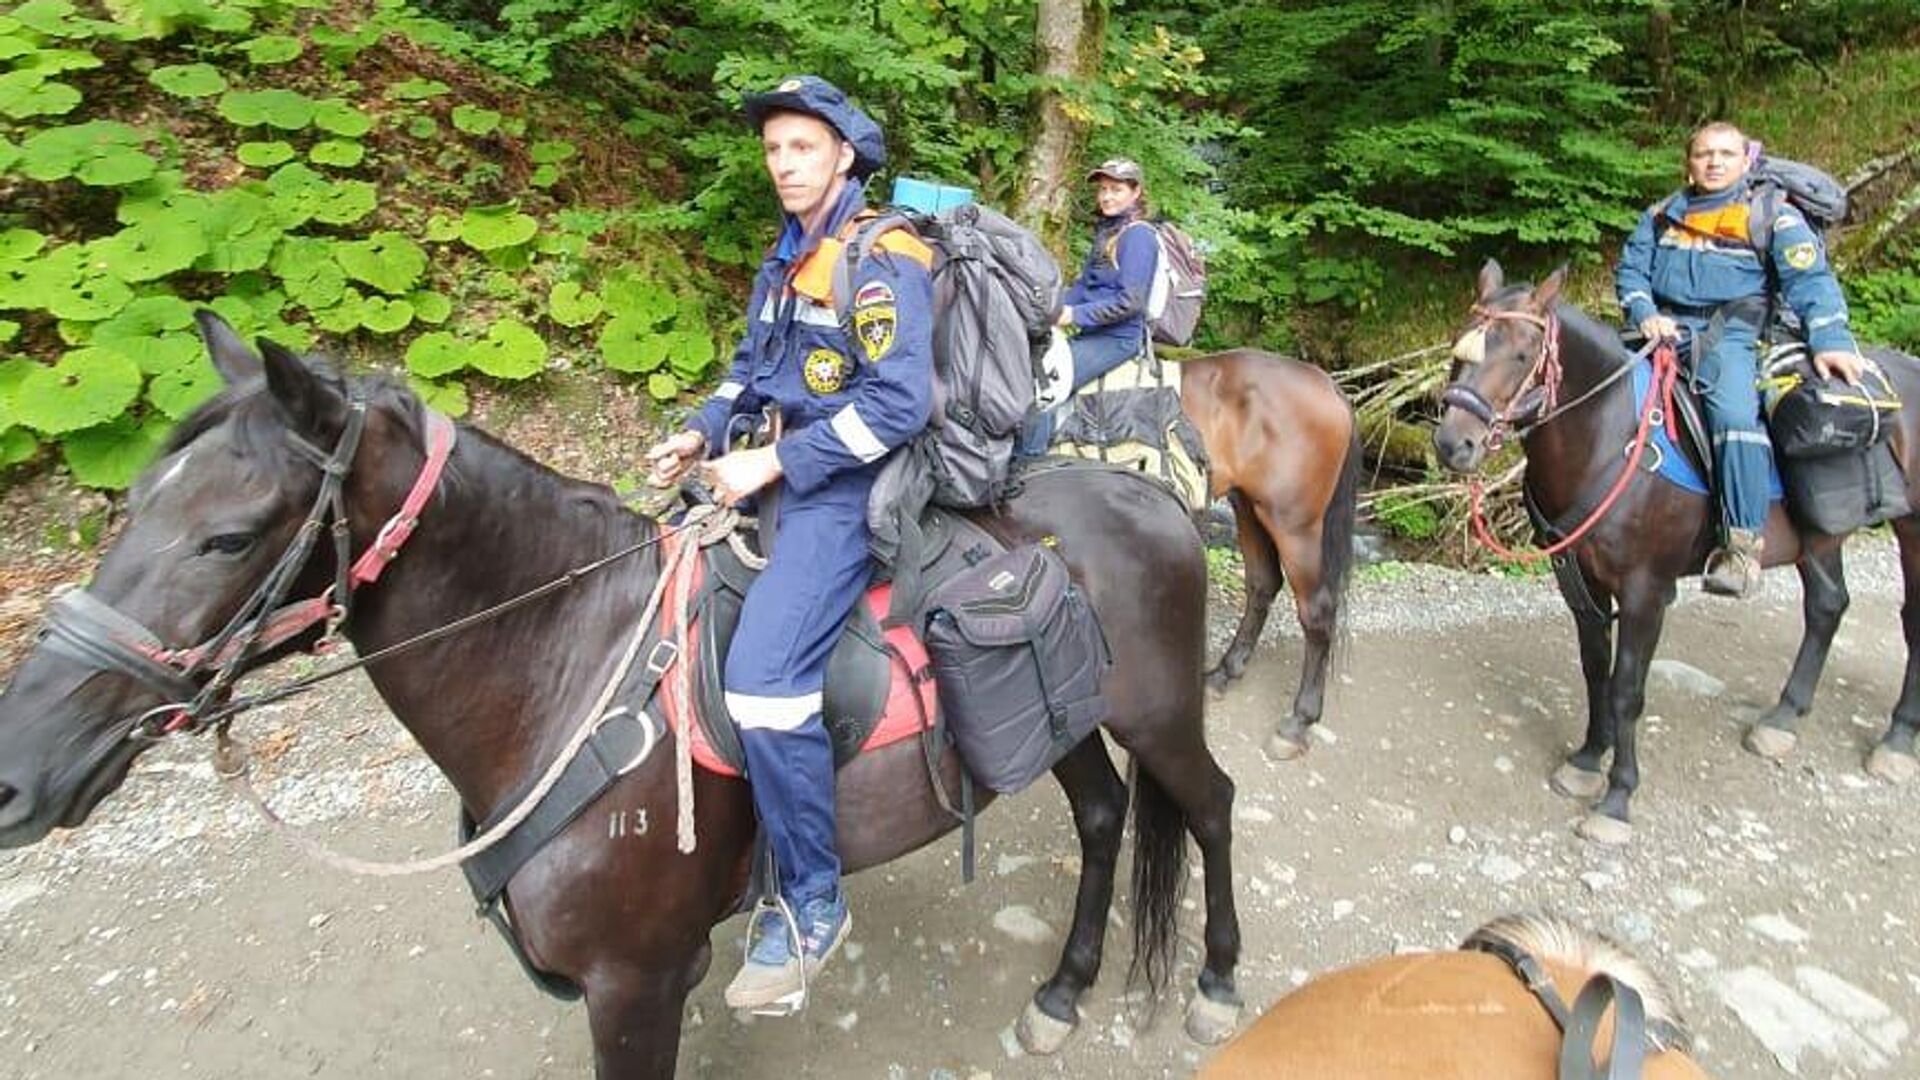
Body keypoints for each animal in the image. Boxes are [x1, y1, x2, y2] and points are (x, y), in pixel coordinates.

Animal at [0, 313, 1244, 1076]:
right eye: (132, 507)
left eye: (226, 535)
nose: (19, 767)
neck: (560, 673)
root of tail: (1153, 500)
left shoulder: (633, 986)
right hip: (1061, 723)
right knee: (1103, 817)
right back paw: (1061, 994)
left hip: (1160, 717)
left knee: (1210, 808)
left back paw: (1219, 983)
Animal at [1175, 349, 1359, 753]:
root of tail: (1330, 386)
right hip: (1248, 507)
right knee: (1262, 584)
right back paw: (1224, 672)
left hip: (1292, 525)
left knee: (1317, 612)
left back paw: (1299, 721)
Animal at [1436, 261, 1920, 841]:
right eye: (1461, 343)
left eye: (1522, 352)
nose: (1453, 444)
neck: (1608, 437)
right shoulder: (1579, 579)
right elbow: (1595, 670)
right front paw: (1587, 760)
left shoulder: (1646, 591)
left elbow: (1627, 688)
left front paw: (1616, 798)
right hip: (1818, 540)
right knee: (1828, 607)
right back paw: (1782, 720)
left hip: (1912, 530)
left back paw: (1897, 740)